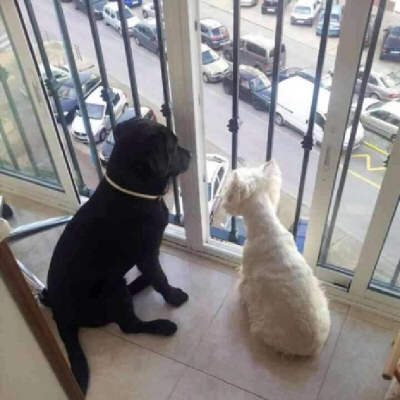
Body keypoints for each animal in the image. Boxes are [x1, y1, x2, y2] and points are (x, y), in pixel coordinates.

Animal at [41, 119, 191, 394]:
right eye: (174, 147)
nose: (190, 154)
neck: (133, 190)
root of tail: (60, 315)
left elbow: (157, 274)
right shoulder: (147, 253)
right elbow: (161, 277)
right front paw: (174, 297)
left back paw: (142, 283)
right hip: (112, 287)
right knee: (129, 326)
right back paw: (163, 326)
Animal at [222, 161, 332, 354]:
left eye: (229, 188)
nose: (221, 203)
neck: (265, 226)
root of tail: (312, 347)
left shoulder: (247, 274)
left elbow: (243, 287)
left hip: (264, 325)